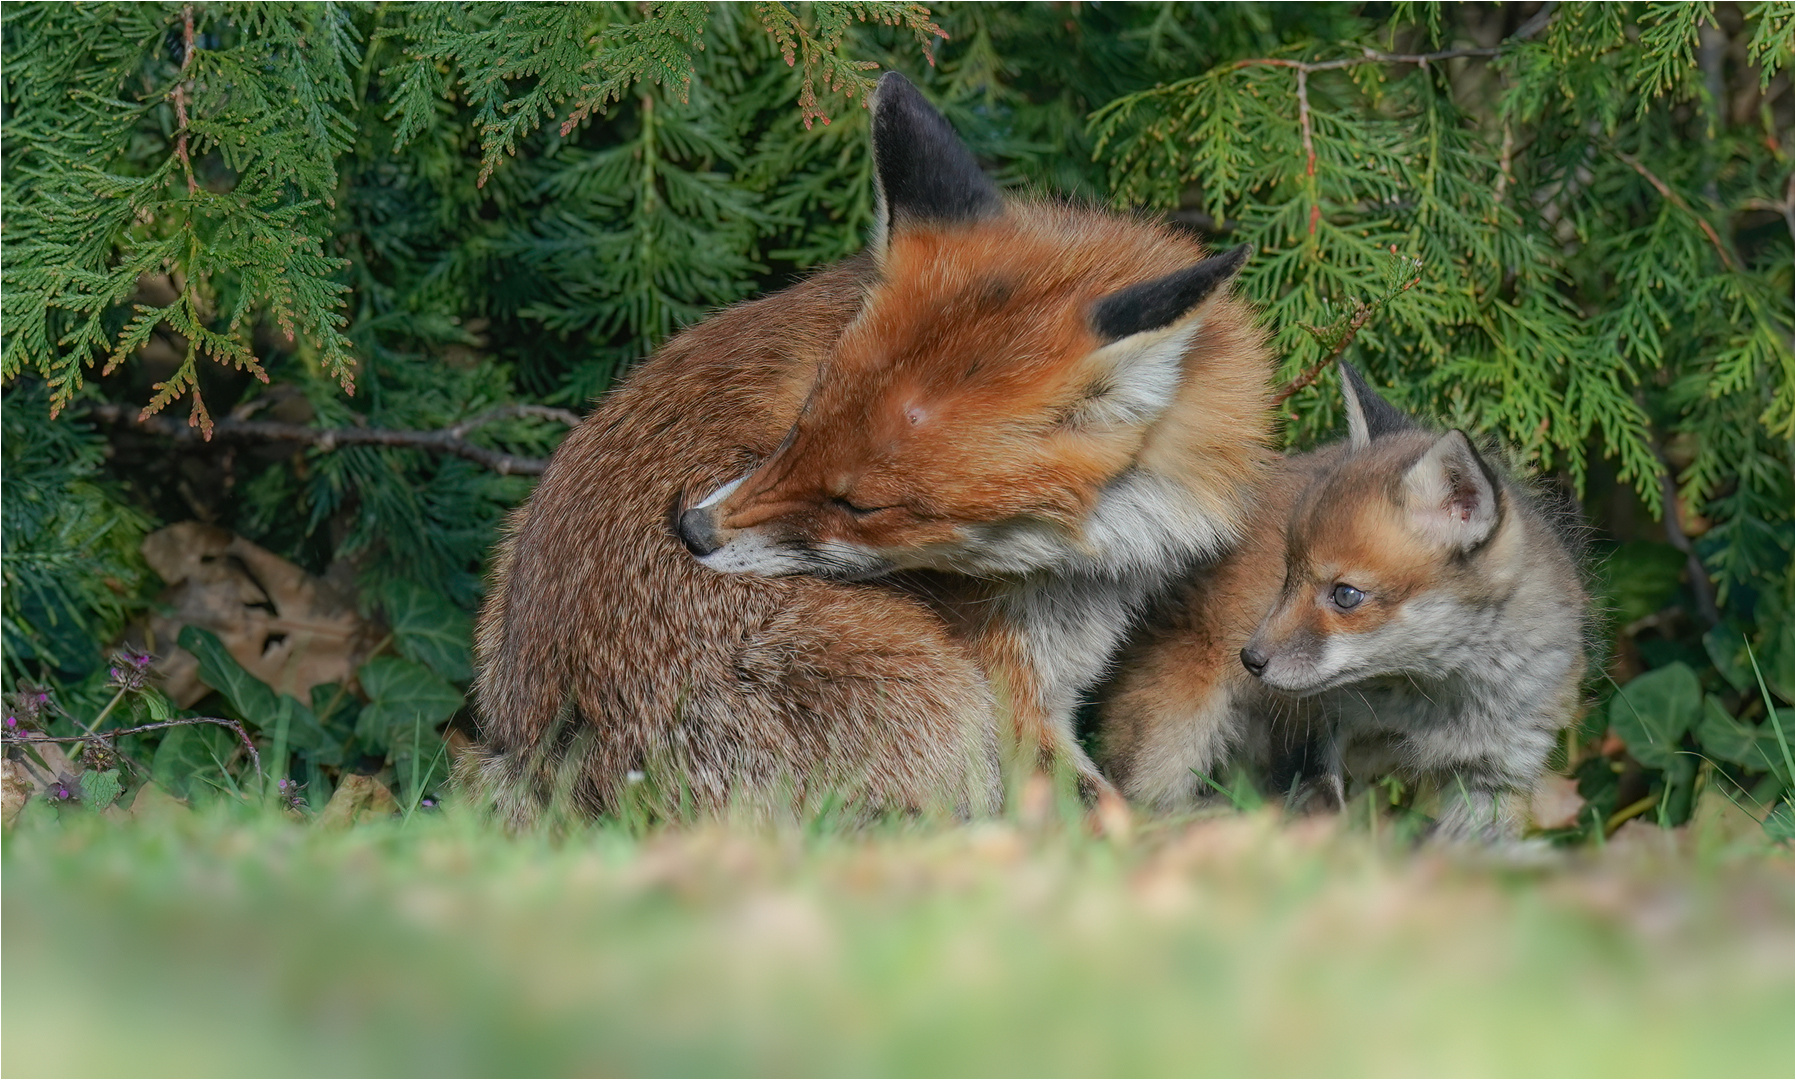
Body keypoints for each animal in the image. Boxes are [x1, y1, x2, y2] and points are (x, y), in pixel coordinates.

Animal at [470, 73, 1271, 815]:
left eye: (861, 507)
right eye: (799, 427)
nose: (692, 530)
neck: (1091, 554)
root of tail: (562, 770)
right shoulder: (1014, 703)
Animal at [1091, 359, 1587, 833]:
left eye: (1345, 595)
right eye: (1287, 574)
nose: (1251, 660)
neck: (1435, 704)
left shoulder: (1499, 774)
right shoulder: (1304, 732)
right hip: (1174, 730)